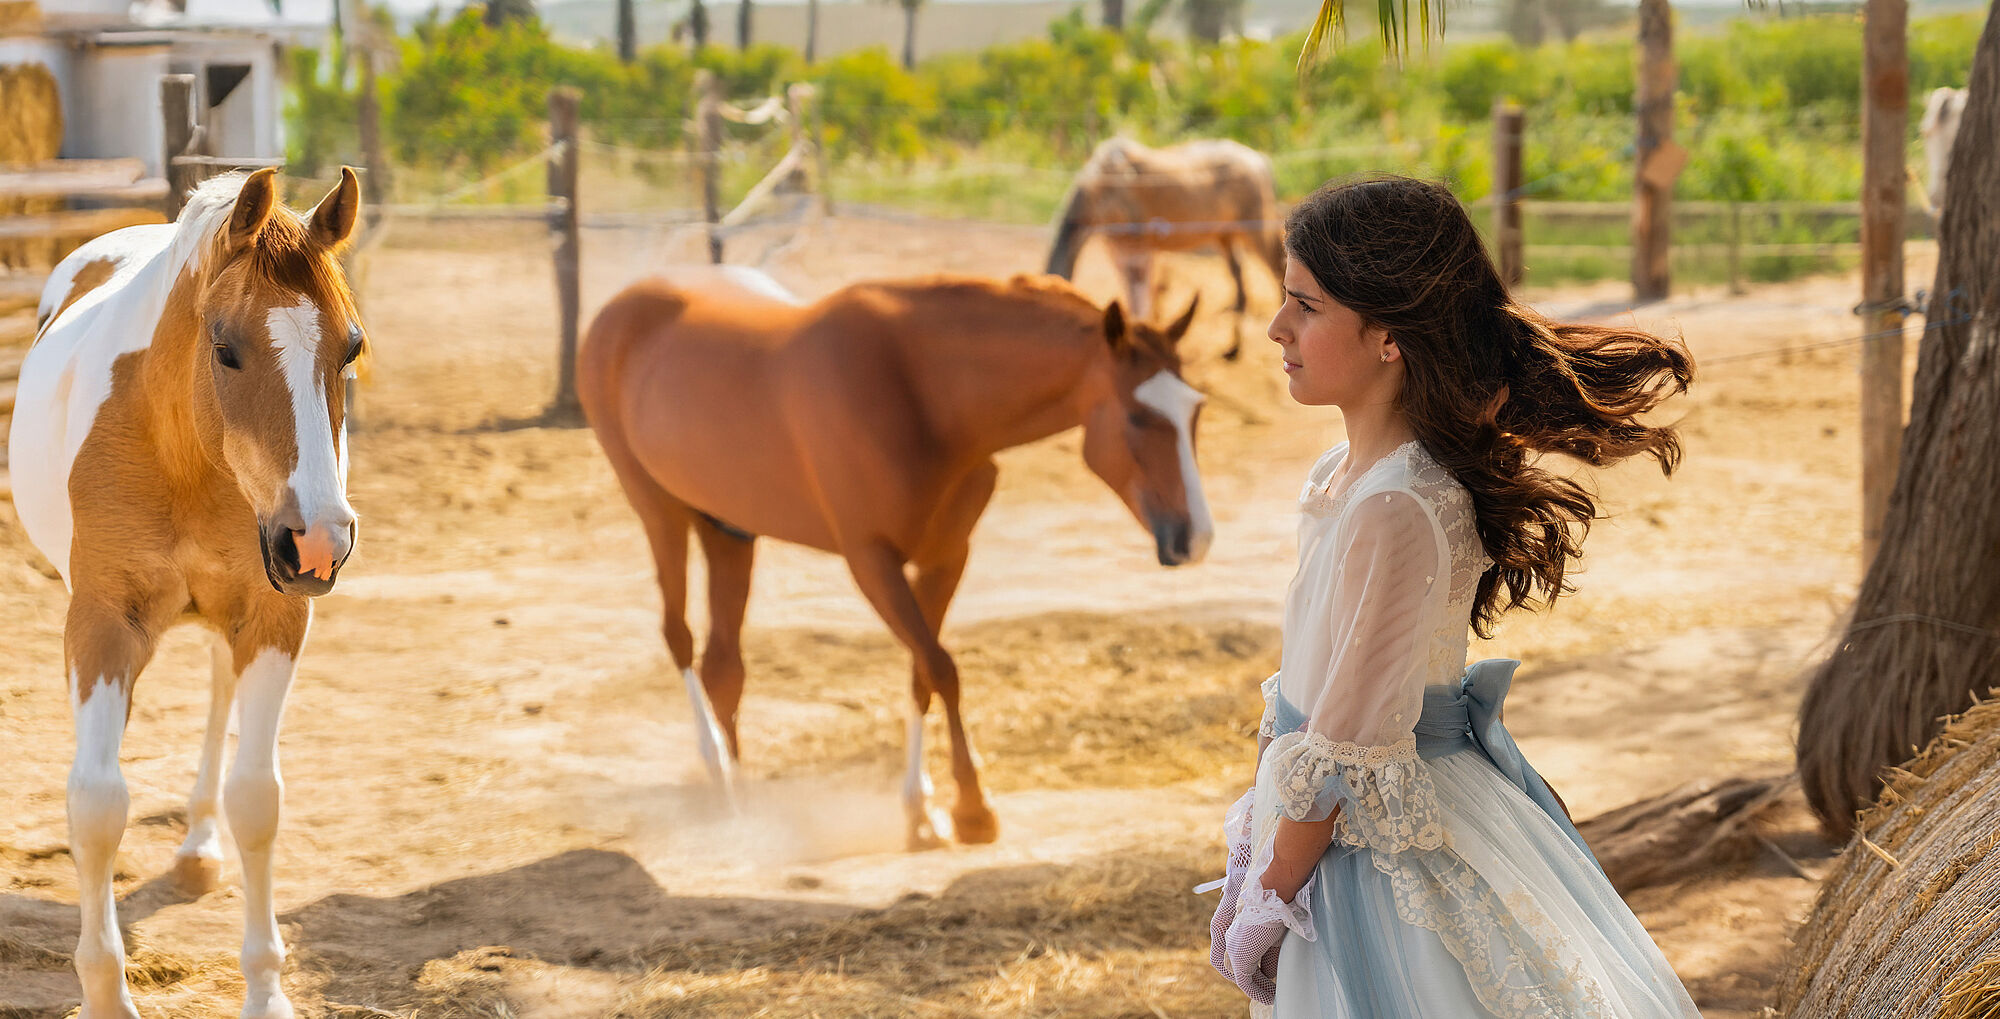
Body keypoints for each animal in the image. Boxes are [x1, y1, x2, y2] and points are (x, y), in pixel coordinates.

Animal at [9, 167, 364, 1019]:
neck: (181, 451)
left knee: (216, 696)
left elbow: (257, 799)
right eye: (226, 348)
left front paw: (266, 989)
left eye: (353, 347)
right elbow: (96, 803)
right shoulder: (101, 622)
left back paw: (199, 848)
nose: (318, 540)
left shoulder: (275, 613)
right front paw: (106, 993)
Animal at [577, 266, 1212, 848]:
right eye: (1138, 416)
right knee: (679, 638)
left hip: (729, 530)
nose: (1196, 538)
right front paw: (971, 809)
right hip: (659, 511)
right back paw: (719, 778)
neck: (923, 394)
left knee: (723, 667)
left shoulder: (947, 556)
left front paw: (921, 809)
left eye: (1195, 410)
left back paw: (742, 794)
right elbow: (941, 667)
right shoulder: (871, 561)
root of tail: (619, 307)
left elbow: (922, 674)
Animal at [1044, 137, 1284, 356]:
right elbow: (1135, 299)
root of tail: (1260, 161)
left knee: (1277, 268)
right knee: (1240, 283)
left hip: (1255, 230)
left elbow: (1143, 301)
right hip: (1225, 235)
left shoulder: (1138, 250)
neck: (1101, 192)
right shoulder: (1119, 251)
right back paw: (1233, 350)